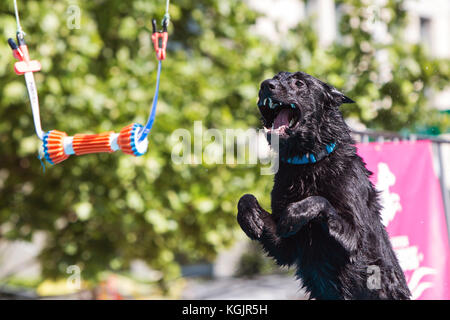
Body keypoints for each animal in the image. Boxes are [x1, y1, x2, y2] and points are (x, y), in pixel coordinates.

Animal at [239, 71, 412, 298]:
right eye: (275, 77)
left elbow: (319, 200)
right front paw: (251, 218)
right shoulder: (286, 247)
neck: (308, 162)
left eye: (299, 83)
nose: (266, 85)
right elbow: (246, 198)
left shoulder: (357, 239)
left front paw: (294, 214)